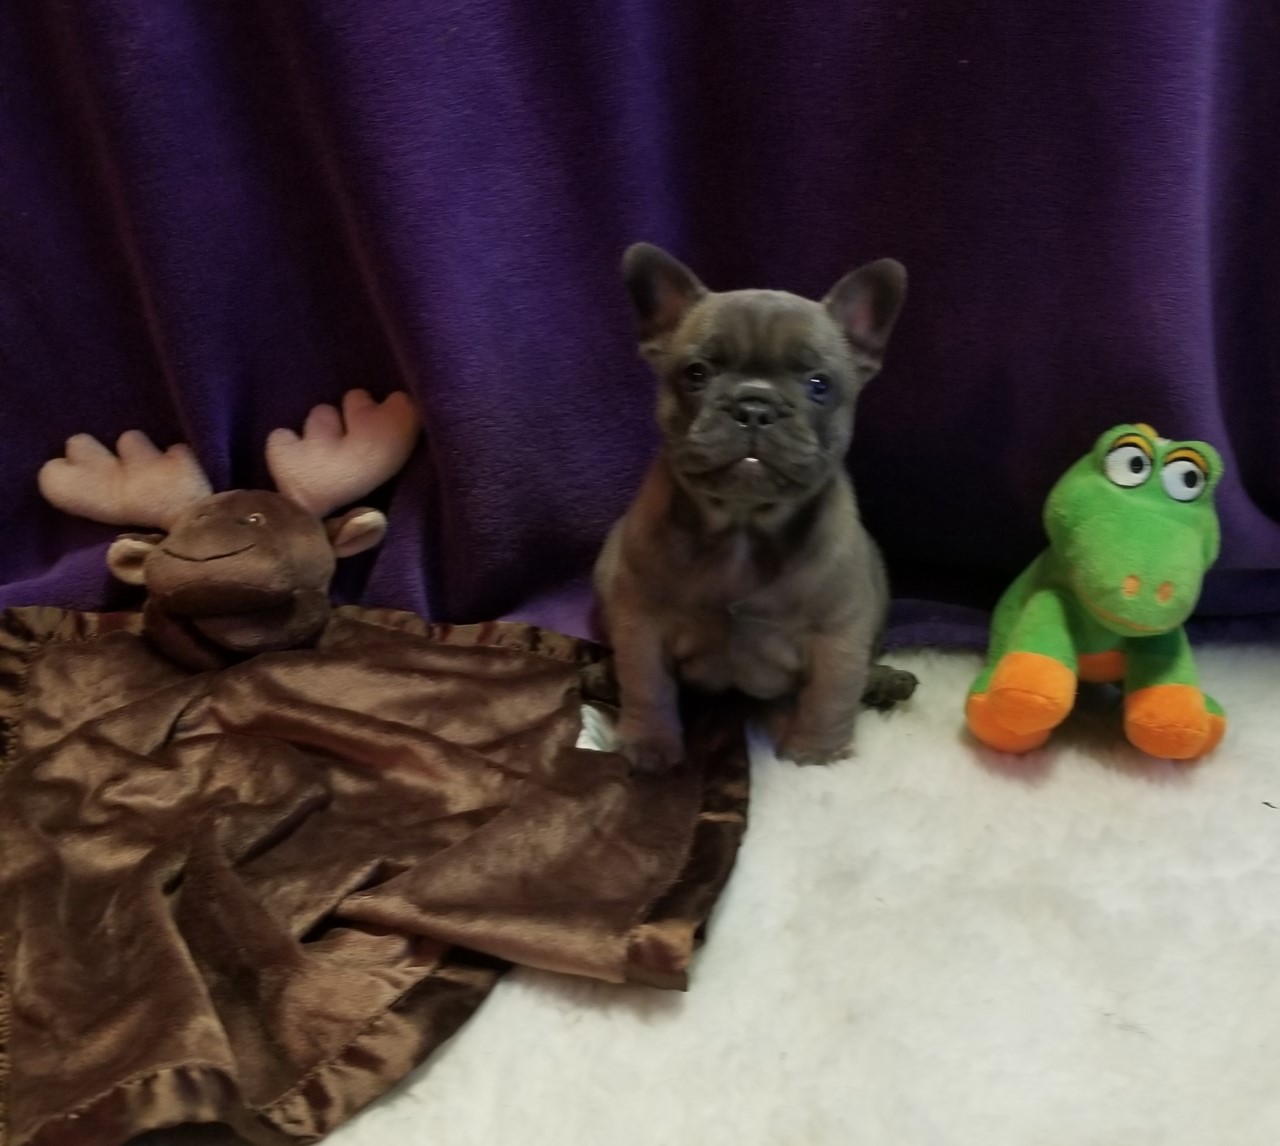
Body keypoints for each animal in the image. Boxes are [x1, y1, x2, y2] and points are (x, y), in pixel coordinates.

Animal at [594, 243, 918, 772]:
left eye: (819, 384)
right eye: (696, 374)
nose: (754, 405)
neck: (742, 526)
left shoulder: (838, 636)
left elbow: (829, 696)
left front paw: (816, 756)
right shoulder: (641, 624)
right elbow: (648, 685)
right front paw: (650, 746)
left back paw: (884, 683)